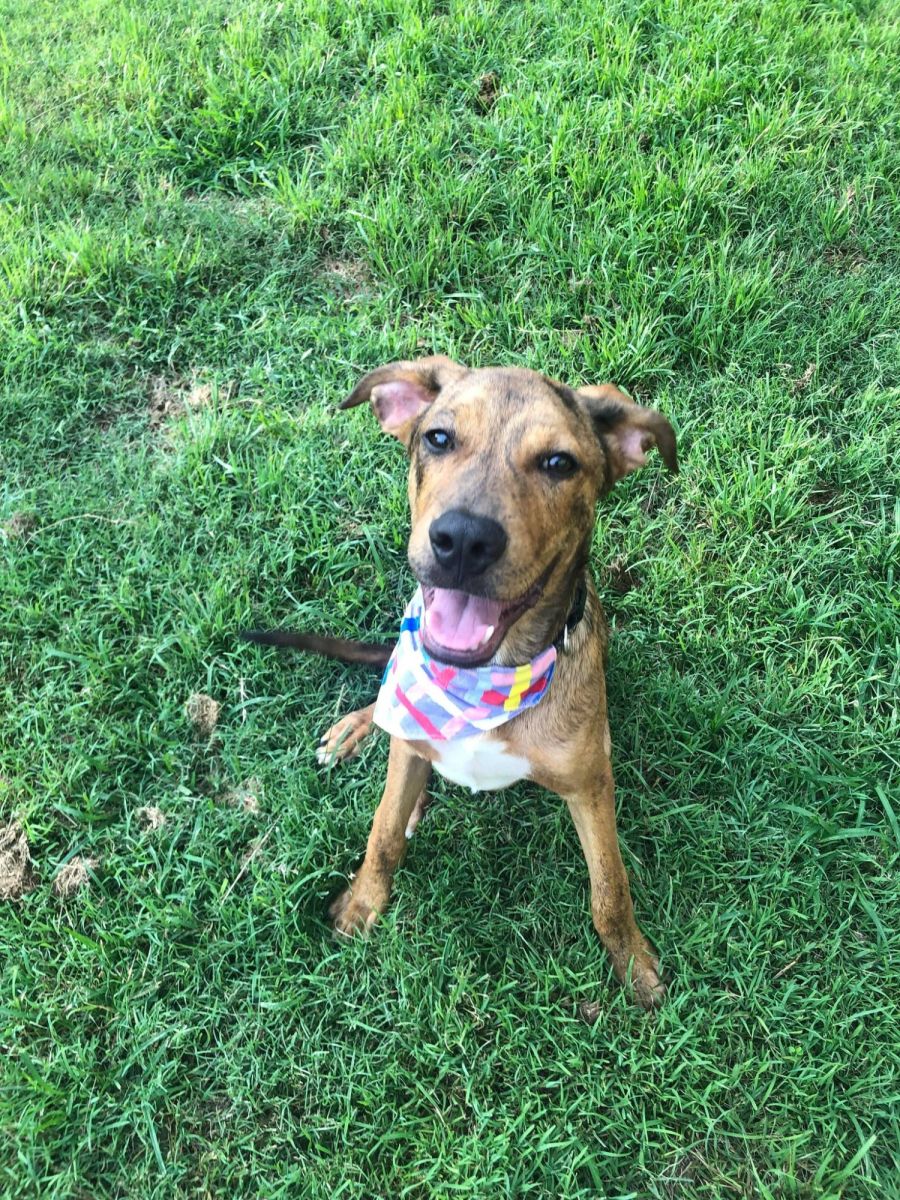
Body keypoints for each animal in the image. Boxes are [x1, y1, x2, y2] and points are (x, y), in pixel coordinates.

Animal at [245, 356, 677, 1009]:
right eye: (439, 438)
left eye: (559, 463)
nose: (463, 540)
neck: (486, 680)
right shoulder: (409, 745)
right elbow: (382, 835)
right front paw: (362, 906)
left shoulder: (591, 784)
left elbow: (609, 886)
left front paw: (631, 963)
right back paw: (359, 732)